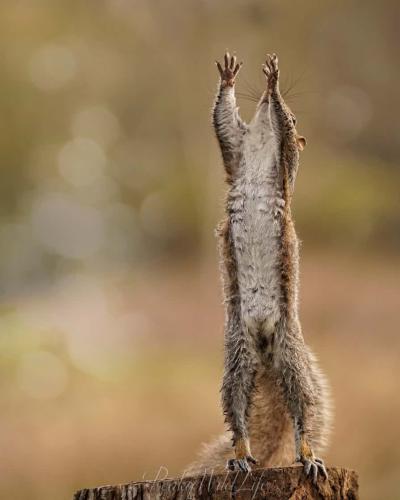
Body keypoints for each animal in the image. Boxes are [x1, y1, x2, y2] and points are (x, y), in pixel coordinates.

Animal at [187, 52, 332, 482]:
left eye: (298, 120)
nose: (264, 102)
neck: (259, 148)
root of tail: (267, 347)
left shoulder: (285, 161)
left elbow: (281, 137)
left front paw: (274, 84)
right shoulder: (235, 149)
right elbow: (223, 121)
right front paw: (229, 78)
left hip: (291, 354)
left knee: (301, 406)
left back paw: (307, 454)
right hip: (238, 355)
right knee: (236, 408)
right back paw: (240, 454)